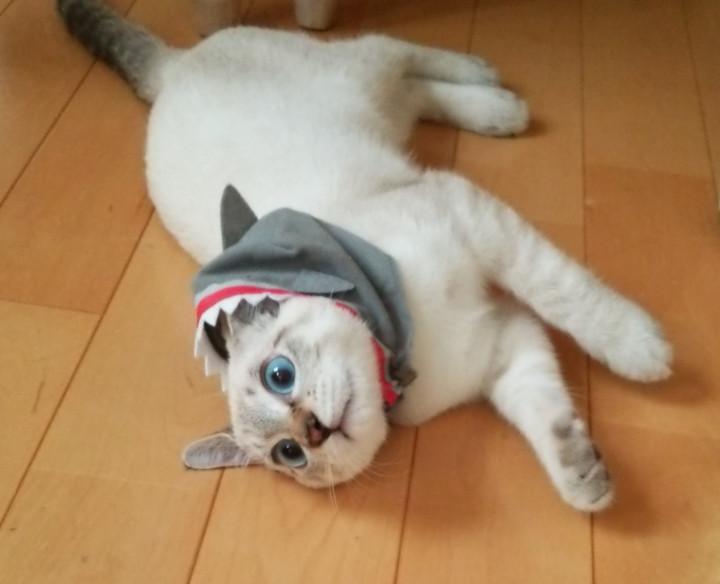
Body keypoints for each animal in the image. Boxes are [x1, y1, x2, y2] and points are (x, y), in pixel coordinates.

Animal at [58, 0, 672, 512]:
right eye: (289, 456)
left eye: (280, 375)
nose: (312, 431)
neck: (407, 351)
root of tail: (172, 69)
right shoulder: (504, 341)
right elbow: (544, 410)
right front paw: (583, 478)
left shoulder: (471, 216)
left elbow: (567, 295)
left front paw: (640, 349)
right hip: (383, 110)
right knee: (418, 91)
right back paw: (498, 110)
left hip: (356, 71)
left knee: (402, 52)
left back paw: (492, 86)